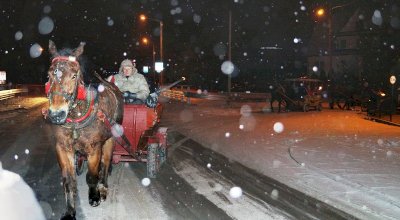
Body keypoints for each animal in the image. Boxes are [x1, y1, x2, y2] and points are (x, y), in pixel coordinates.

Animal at [44, 40, 123, 219]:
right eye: (49, 75)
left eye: (74, 75)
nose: (57, 115)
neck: (75, 118)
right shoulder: (62, 147)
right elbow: (68, 180)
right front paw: (70, 211)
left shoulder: (94, 148)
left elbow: (92, 175)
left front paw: (94, 196)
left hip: (110, 139)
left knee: (106, 163)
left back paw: (103, 187)